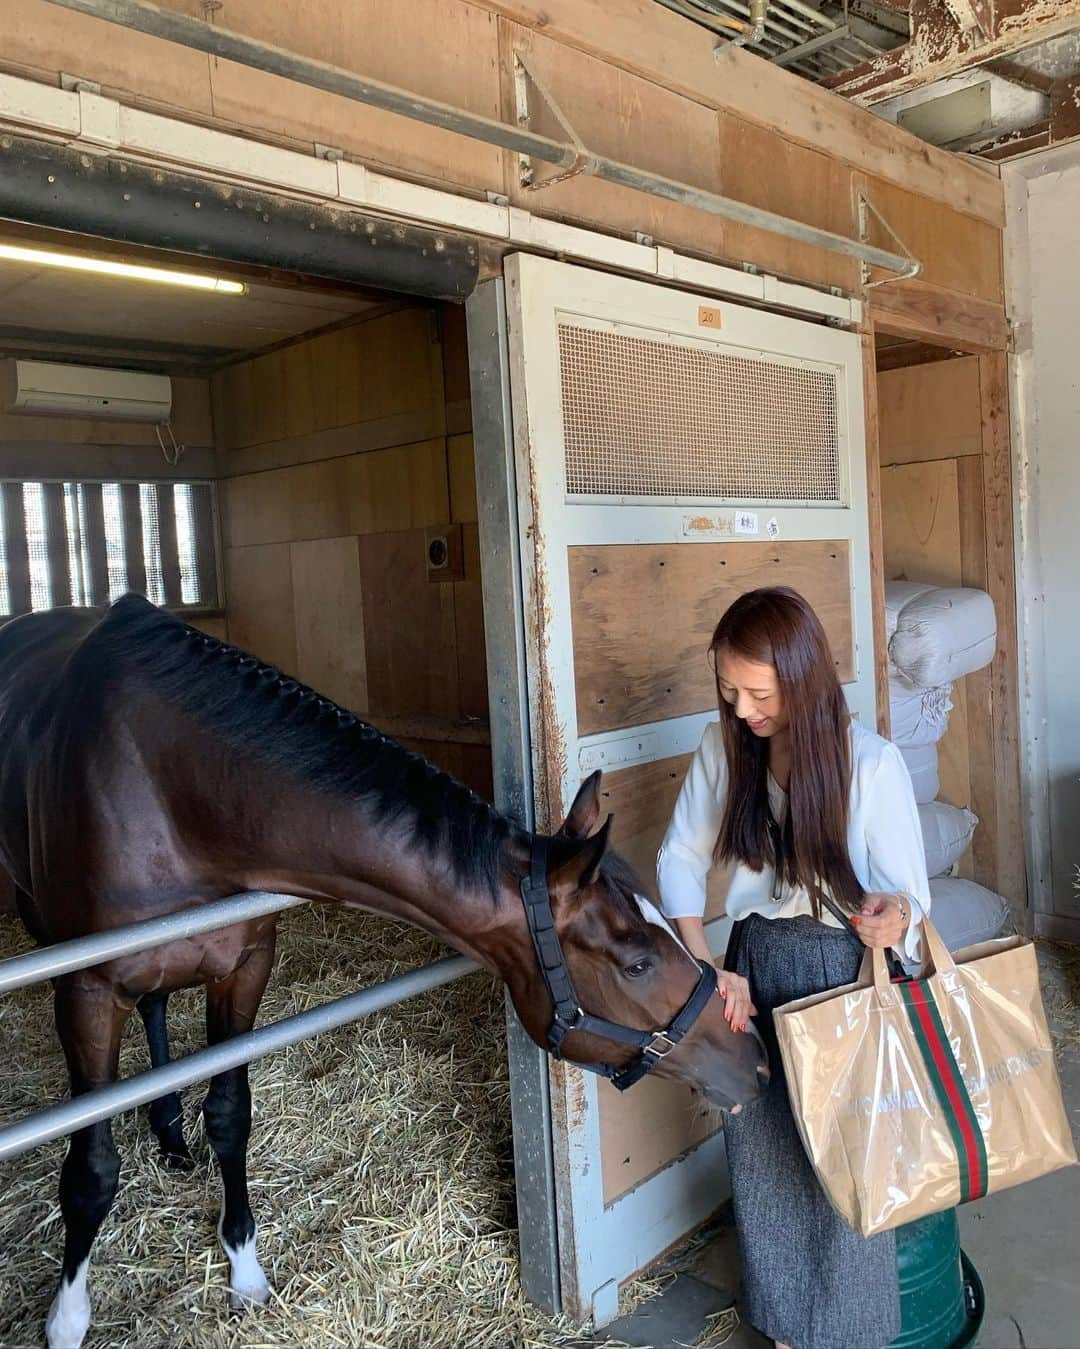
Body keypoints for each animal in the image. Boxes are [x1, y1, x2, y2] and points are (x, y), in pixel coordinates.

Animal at [0, 598, 765, 1349]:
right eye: (636, 963)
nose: (753, 1061)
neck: (173, 790)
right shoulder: (86, 990)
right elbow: (91, 1170)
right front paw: (67, 1320)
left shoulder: (244, 969)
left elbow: (229, 1114)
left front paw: (244, 1270)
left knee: (158, 1007)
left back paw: (168, 1129)